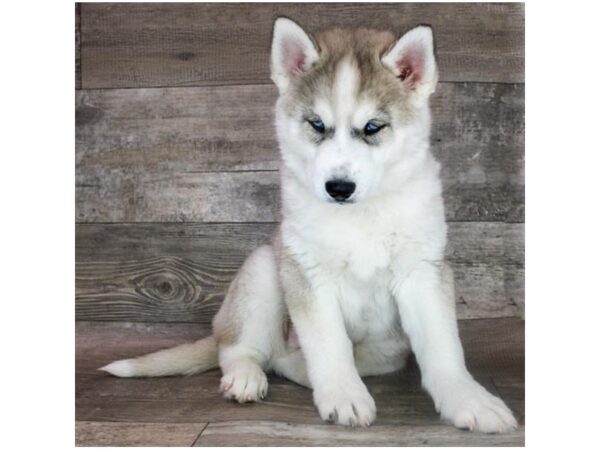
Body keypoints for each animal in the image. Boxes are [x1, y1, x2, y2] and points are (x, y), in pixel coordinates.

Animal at [101, 17, 516, 432]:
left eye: (373, 127)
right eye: (317, 124)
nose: (339, 188)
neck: (359, 216)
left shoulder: (422, 272)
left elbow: (443, 347)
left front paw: (469, 399)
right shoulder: (308, 273)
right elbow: (331, 344)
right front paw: (344, 396)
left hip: (384, 346)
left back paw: (297, 366)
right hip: (264, 268)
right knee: (239, 349)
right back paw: (247, 376)